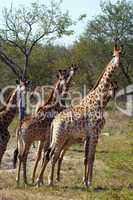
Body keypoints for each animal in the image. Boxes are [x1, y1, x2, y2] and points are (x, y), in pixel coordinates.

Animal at [35, 44, 121, 187]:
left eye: (121, 54)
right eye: (113, 55)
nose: (118, 63)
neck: (99, 101)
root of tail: (54, 122)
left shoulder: (89, 135)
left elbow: (88, 157)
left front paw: (86, 181)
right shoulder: (95, 133)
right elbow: (90, 157)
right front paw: (88, 182)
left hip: (59, 138)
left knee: (51, 154)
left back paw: (43, 180)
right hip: (59, 137)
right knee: (51, 154)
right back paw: (46, 180)